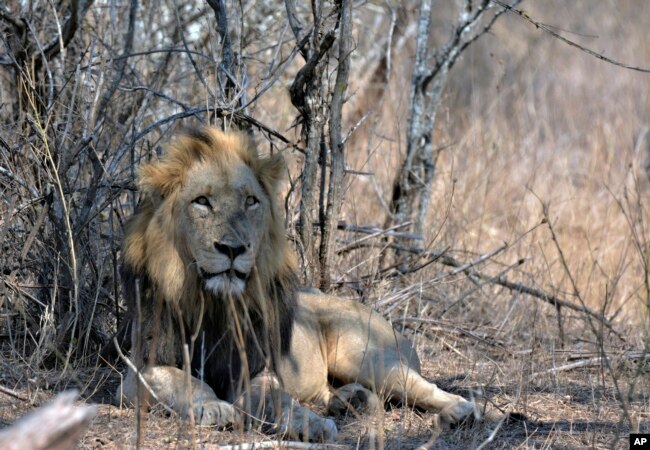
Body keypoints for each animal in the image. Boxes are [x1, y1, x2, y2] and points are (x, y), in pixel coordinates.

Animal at [116, 125, 478, 440]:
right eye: (202, 201)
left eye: (250, 201)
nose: (234, 249)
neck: (215, 304)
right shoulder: (136, 374)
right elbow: (183, 380)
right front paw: (213, 407)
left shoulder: (258, 367)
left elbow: (278, 398)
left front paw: (312, 425)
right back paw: (352, 401)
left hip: (366, 356)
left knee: (424, 387)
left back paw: (460, 412)